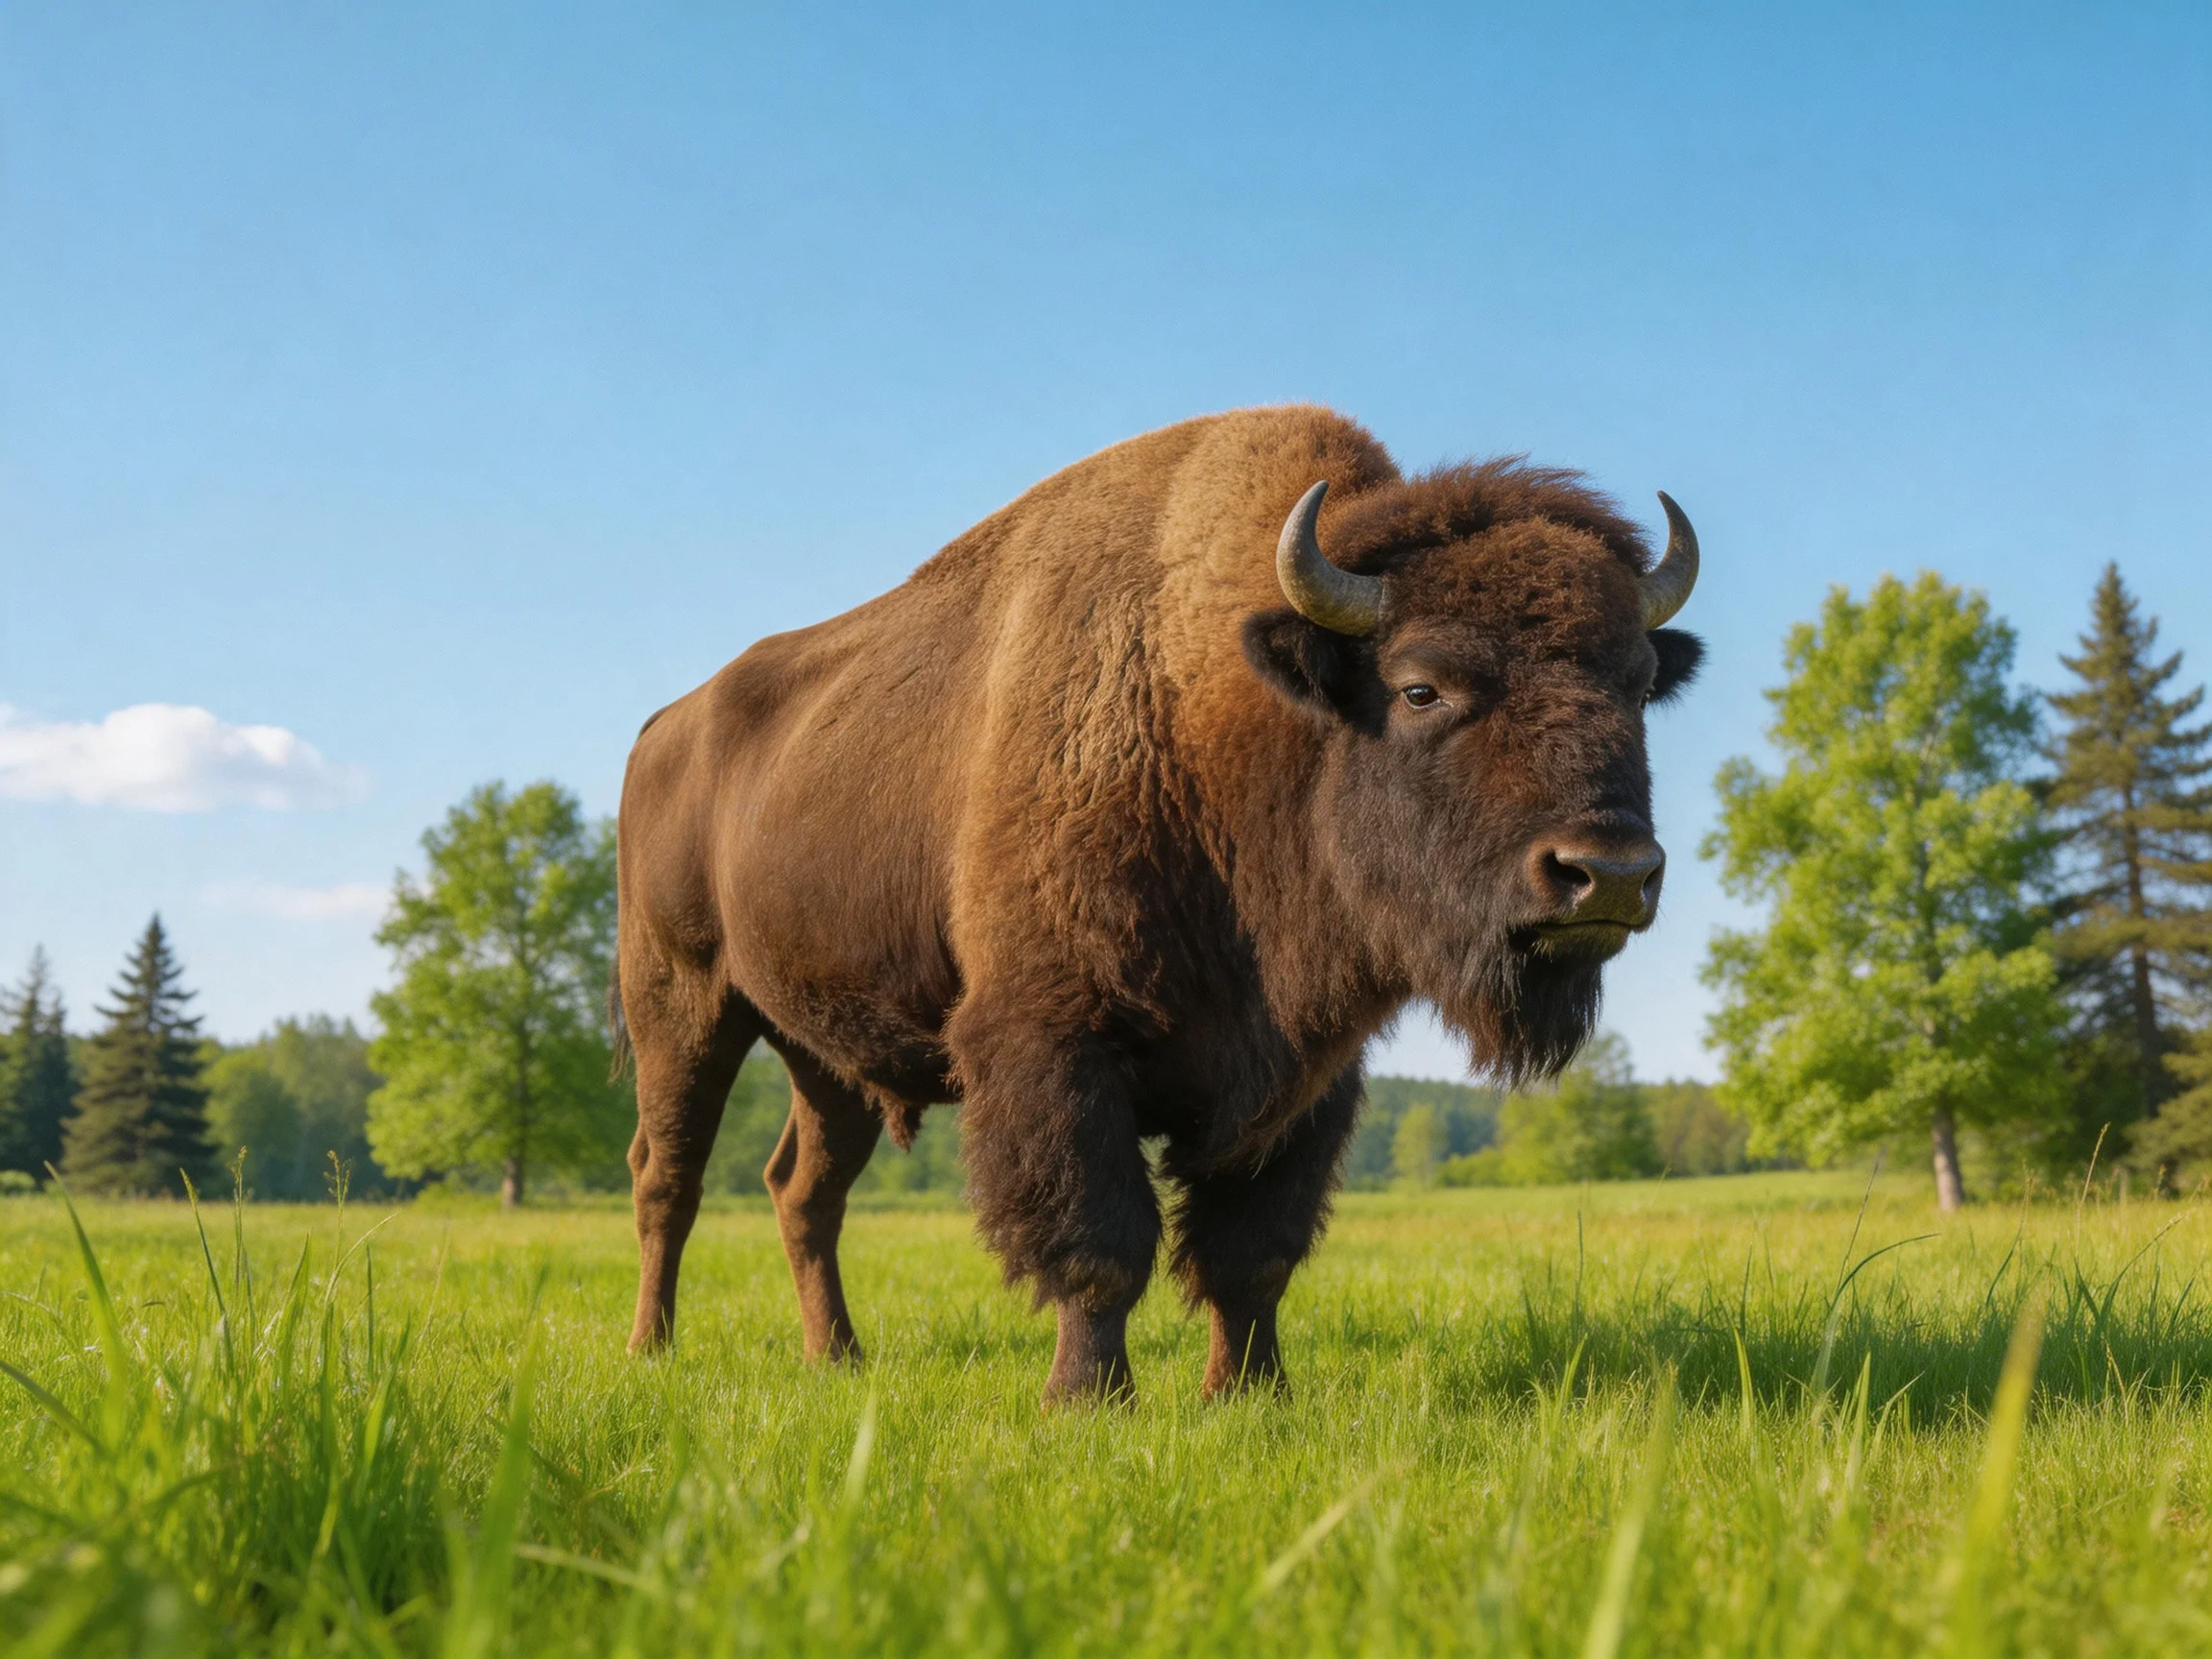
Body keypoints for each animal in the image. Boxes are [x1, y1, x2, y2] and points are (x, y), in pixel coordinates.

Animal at [612, 406, 1702, 1402]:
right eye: (1421, 688)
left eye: (1639, 684)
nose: (1607, 872)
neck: (1225, 709)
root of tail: (663, 728)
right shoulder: (1053, 1044)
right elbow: (1102, 1242)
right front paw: (1088, 1399)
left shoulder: (1306, 1078)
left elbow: (1252, 1252)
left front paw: (1251, 1394)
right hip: (681, 1008)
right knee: (668, 1176)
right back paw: (651, 1351)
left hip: (824, 1056)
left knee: (804, 1191)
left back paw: (837, 1357)